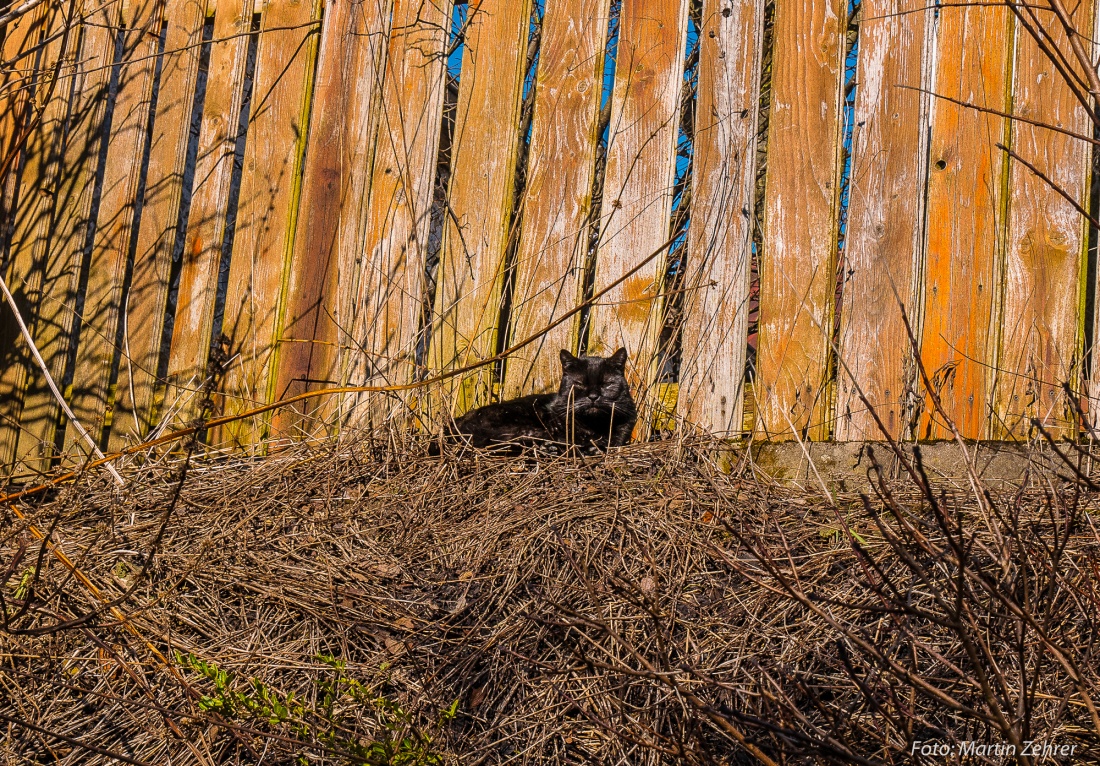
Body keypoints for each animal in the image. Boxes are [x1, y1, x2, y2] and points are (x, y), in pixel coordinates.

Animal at [437, 347, 638, 455]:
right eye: (580, 384)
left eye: (606, 384)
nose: (594, 396)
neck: (593, 426)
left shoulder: (625, 424)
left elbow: (614, 441)